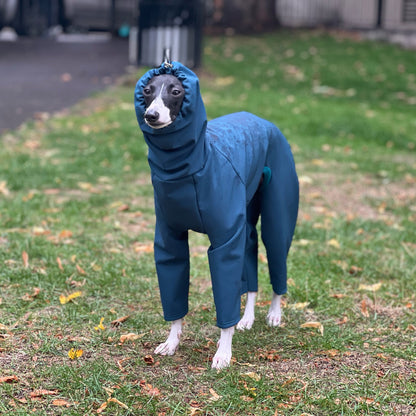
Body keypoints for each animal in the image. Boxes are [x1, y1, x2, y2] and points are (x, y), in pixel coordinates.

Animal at [134, 61, 300, 368]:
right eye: (148, 91)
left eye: (176, 91)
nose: (151, 115)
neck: (190, 167)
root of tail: (260, 119)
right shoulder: (169, 239)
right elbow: (174, 285)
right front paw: (171, 342)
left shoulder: (224, 242)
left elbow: (225, 299)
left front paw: (223, 353)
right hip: (245, 221)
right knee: (249, 263)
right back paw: (247, 318)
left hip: (277, 215)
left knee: (276, 249)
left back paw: (274, 313)